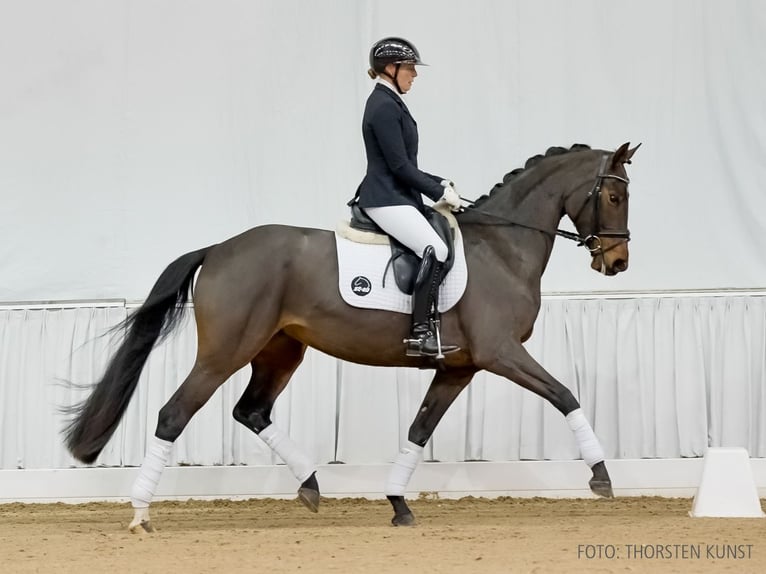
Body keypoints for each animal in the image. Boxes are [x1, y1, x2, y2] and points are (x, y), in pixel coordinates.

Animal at [64, 143, 640, 532]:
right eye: (613, 195)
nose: (617, 262)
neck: (502, 248)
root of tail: (219, 248)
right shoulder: (502, 353)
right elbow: (566, 395)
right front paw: (602, 477)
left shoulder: (459, 367)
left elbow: (419, 429)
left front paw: (398, 504)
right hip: (225, 352)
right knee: (174, 414)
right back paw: (141, 514)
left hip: (281, 350)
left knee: (251, 411)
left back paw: (311, 485)